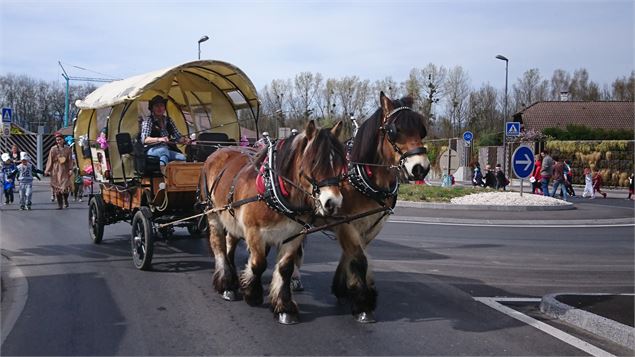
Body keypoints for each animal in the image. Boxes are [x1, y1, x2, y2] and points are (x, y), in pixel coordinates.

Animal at [201, 119, 346, 322]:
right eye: (314, 162)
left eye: (341, 162)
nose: (333, 202)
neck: (273, 188)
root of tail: (217, 151)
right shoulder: (253, 231)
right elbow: (259, 264)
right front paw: (252, 294)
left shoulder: (294, 234)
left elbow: (285, 268)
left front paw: (284, 306)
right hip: (213, 213)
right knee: (218, 245)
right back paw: (226, 284)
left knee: (230, 243)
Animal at [310, 92, 430, 322]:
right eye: (393, 130)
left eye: (422, 129)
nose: (420, 168)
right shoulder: (346, 223)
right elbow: (359, 259)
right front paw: (363, 304)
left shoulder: (372, 225)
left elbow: (354, 255)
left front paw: (344, 289)